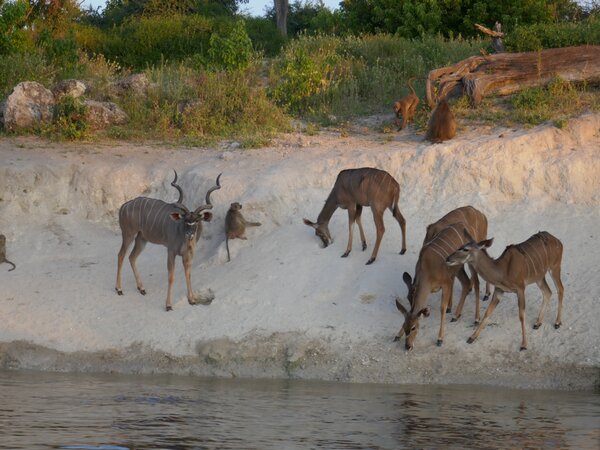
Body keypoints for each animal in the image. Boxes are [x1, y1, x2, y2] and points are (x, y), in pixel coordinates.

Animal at [115, 171, 222, 311]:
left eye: (196, 221)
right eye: (185, 220)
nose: (190, 234)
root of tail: (123, 206)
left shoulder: (187, 255)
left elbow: (188, 274)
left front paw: (192, 300)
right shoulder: (171, 251)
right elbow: (171, 277)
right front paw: (168, 305)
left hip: (142, 238)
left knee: (132, 257)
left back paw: (141, 288)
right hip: (129, 234)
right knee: (121, 255)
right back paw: (119, 289)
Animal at [395, 208, 489, 351]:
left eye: (414, 328)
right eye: (405, 327)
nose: (407, 346)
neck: (427, 268)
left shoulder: (446, 282)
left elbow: (442, 308)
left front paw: (440, 339)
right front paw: (397, 335)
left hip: (470, 262)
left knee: (476, 283)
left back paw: (476, 318)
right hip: (459, 267)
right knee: (467, 283)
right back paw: (456, 315)